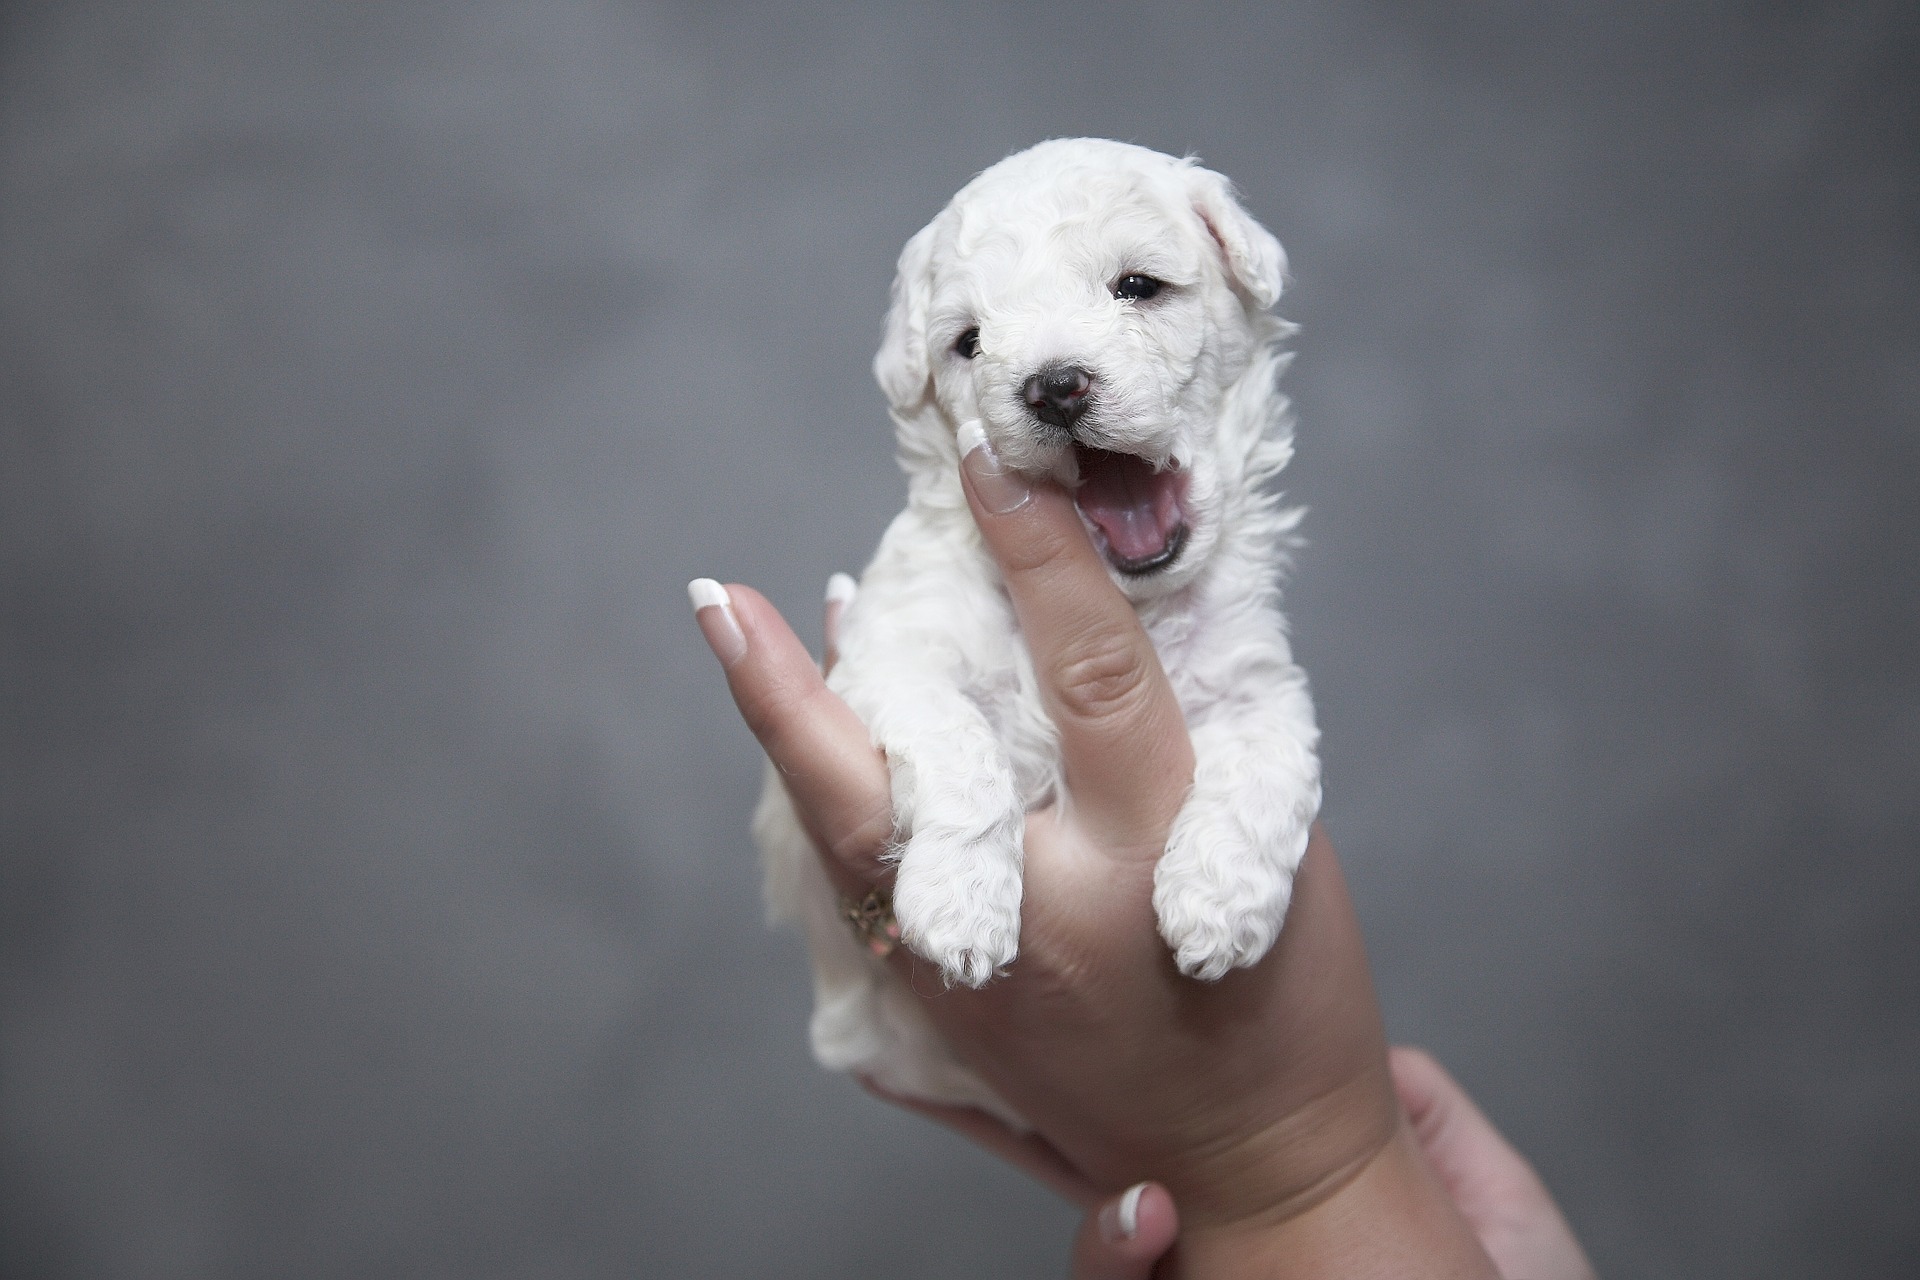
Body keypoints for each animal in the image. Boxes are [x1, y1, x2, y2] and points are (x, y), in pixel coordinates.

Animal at [748, 135, 1320, 1128]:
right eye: (969, 342)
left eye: (1137, 286)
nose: (1054, 387)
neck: (1130, 605)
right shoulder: (889, 660)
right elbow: (963, 750)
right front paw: (960, 906)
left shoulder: (1258, 683)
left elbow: (1267, 764)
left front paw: (1217, 908)